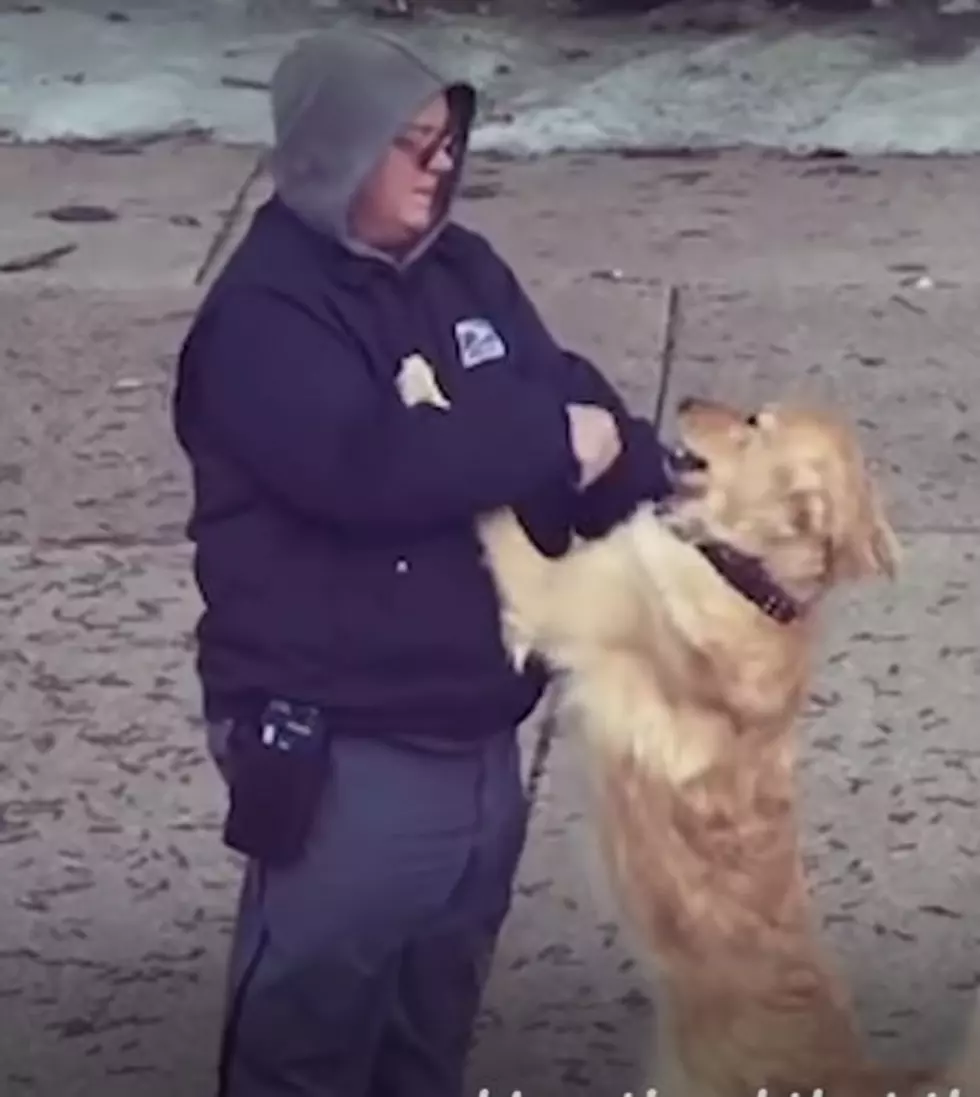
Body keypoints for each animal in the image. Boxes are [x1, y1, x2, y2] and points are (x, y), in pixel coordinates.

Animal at [467, 394, 978, 1097]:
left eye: (757, 424)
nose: (684, 401)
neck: (746, 577)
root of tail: (855, 1074)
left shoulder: (546, 592)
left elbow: (499, 514)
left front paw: (426, 389)